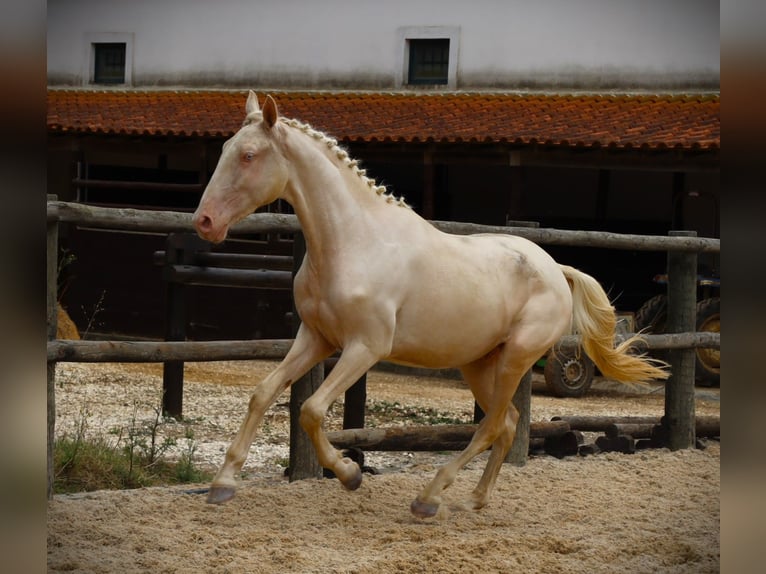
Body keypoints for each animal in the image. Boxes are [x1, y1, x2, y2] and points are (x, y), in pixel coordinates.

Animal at [194, 92, 672, 520]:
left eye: (249, 155)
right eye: (225, 150)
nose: (204, 222)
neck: (353, 241)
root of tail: (557, 269)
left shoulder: (365, 347)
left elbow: (311, 410)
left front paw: (350, 474)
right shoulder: (315, 338)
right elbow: (263, 393)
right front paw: (222, 485)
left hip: (516, 358)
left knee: (493, 424)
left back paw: (429, 498)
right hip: (479, 363)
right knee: (509, 422)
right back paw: (474, 500)